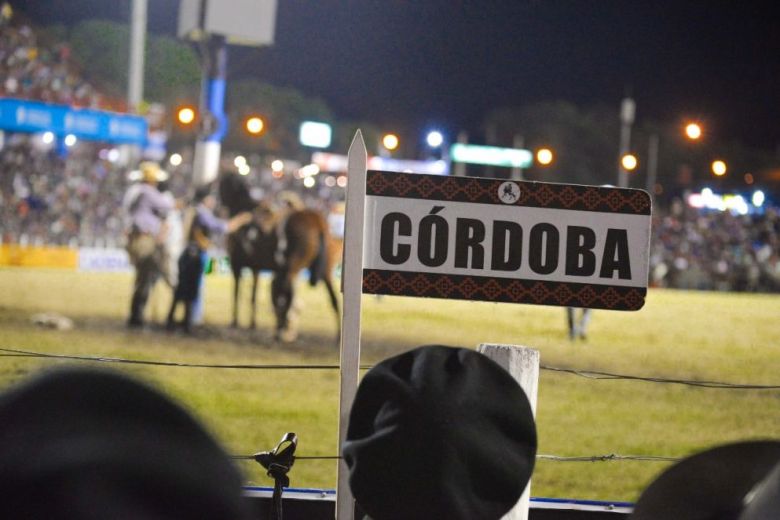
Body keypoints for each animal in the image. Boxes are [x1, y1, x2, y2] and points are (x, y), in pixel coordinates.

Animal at [219, 171, 342, 342]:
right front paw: (252, 324)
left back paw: (281, 328)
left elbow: (237, 294)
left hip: (293, 267)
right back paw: (337, 335)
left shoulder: (236, 265)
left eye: (223, 184)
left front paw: (235, 322)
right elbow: (253, 296)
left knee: (287, 294)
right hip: (324, 271)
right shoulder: (256, 268)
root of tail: (316, 220)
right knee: (333, 299)